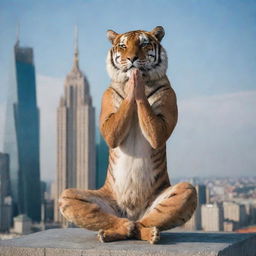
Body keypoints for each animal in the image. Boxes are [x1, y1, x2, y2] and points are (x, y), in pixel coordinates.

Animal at [58, 26, 198, 244]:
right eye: (123, 46)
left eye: (144, 43)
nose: (132, 59)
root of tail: (133, 215)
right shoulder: (107, 106)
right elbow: (112, 132)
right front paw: (132, 82)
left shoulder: (168, 102)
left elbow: (158, 134)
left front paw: (135, 82)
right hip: (75, 198)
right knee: (84, 204)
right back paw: (114, 231)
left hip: (183, 193)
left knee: (146, 221)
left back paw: (148, 232)